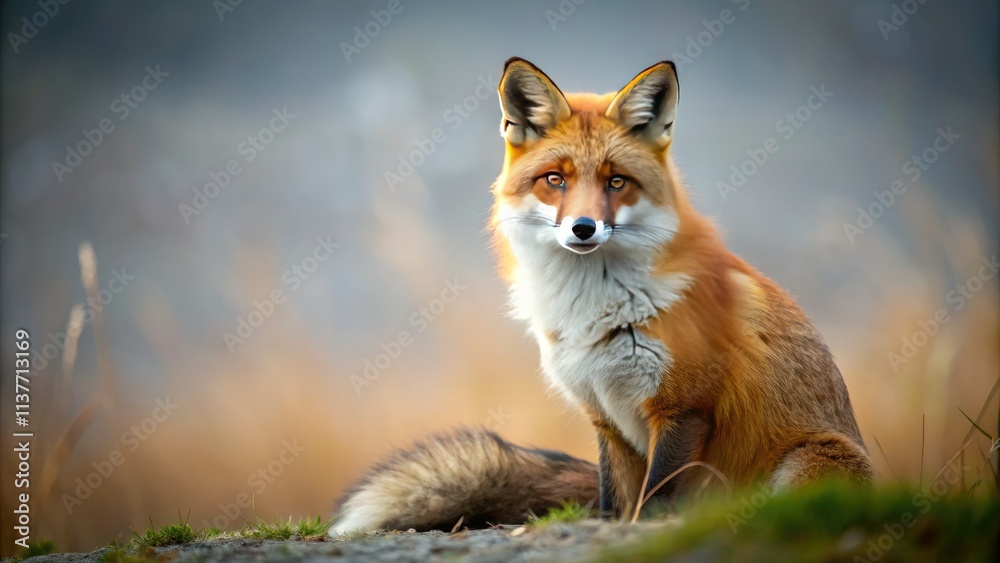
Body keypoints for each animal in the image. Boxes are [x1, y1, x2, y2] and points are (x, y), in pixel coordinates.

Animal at [329, 57, 873, 536]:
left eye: (616, 181)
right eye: (555, 179)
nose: (584, 227)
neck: (597, 312)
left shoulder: (682, 409)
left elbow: (654, 500)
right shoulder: (605, 417)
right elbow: (614, 504)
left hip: (811, 462)